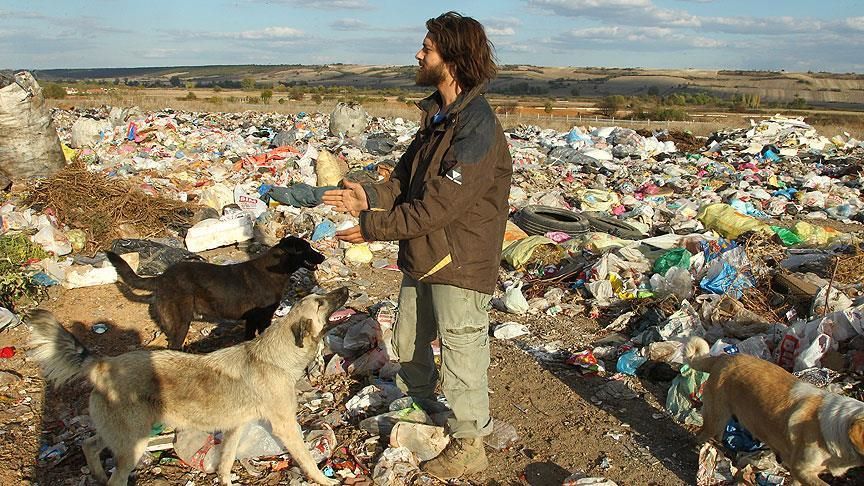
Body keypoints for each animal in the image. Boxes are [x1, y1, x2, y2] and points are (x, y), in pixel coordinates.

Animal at [28, 288, 350, 486]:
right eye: (321, 303)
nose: (346, 290)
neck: (274, 358)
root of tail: (102, 364)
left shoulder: (235, 427)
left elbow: (225, 461)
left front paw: (226, 480)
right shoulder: (286, 426)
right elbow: (306, 459)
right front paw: (324, 480)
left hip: (118, 434)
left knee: (89, 444)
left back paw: (95, 474)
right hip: (134, 443)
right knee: (114, 476)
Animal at [107, 236, 324, 348]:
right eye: (306, 248)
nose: (322, 256)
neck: (274, 270)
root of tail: (162, 277)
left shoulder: (251, 320)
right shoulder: (263, 318)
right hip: (181, 322)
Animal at [688, 336, 864, 484]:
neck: (840, 428)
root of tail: (723, 357)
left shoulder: (800, 475)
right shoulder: (801, 470)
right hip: (717, 417)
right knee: (701, 434)